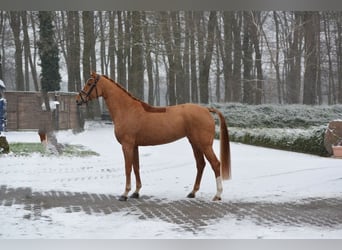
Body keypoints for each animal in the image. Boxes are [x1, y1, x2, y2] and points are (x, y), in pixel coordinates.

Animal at [77, 72, 231, 201]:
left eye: (90, 83)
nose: (78, 100)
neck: (127, 109)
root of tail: (206, 109)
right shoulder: (134, 146)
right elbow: (136, 167)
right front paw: (136, 192)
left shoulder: (127, 146)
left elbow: (128, 168)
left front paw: (125, 194)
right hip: (194, 143)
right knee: (201, 164)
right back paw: (192, 193)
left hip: (204, 145)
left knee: (215, 164)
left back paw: (217, 195)